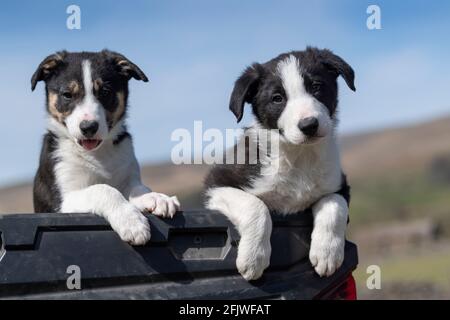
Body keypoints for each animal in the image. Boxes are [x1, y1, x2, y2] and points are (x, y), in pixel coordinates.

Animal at [31, 50, 181, 245]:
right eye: (67, 94)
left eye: (105, 92)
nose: (88, 127)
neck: (98, 153)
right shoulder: (62, 201)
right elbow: (103, 189)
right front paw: (131, 222)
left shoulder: (128, 176)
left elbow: (139, 188)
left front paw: (157, 197)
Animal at [205, 47, 356, 280]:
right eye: (277, 98)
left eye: (316, 87)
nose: (309, 125)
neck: (298, 155)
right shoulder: (217, 183)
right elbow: (256, 206)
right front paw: (253, 258)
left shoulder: (339, 184)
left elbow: (334, 204)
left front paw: (327, 253)